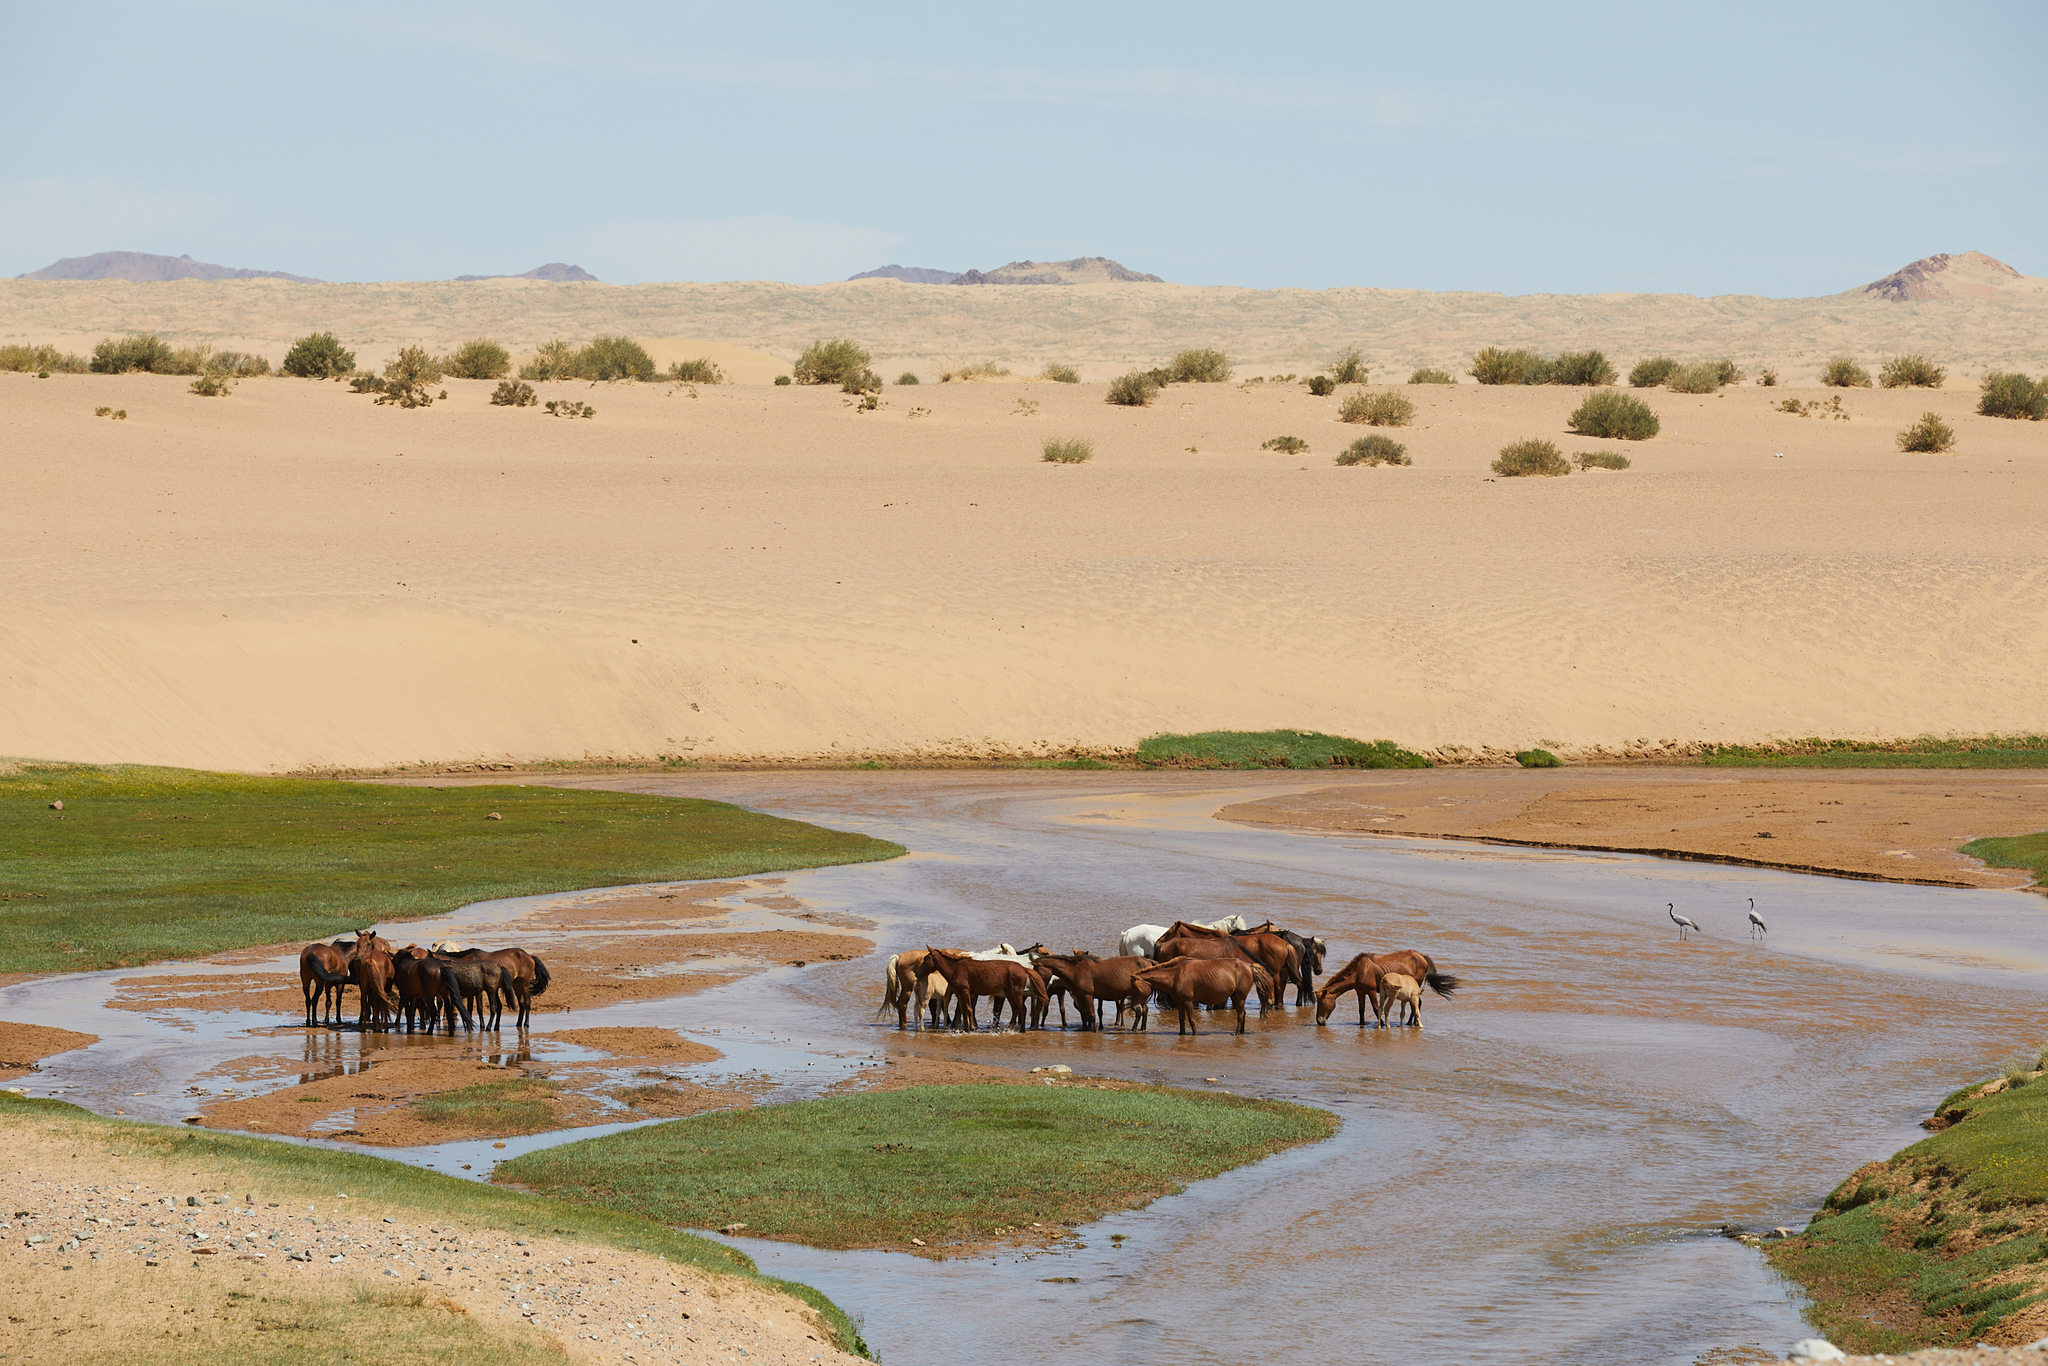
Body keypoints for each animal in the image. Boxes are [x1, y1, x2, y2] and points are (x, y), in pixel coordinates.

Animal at [1130, 958, 1269, 1040]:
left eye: (1136, 989)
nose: (1135, 1008)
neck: (1175, 975)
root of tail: (1249, 965)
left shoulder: (1188, 1001)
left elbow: (1192, 1020)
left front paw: (1195, 1035)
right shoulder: (1179, 1002)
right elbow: (1181, 1019)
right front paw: (1181, 1034)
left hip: (1240, 998)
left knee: (1240, 1015)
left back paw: (1236, 1033)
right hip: (1235, 997)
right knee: (1243, 1013)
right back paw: (1242, 1032)